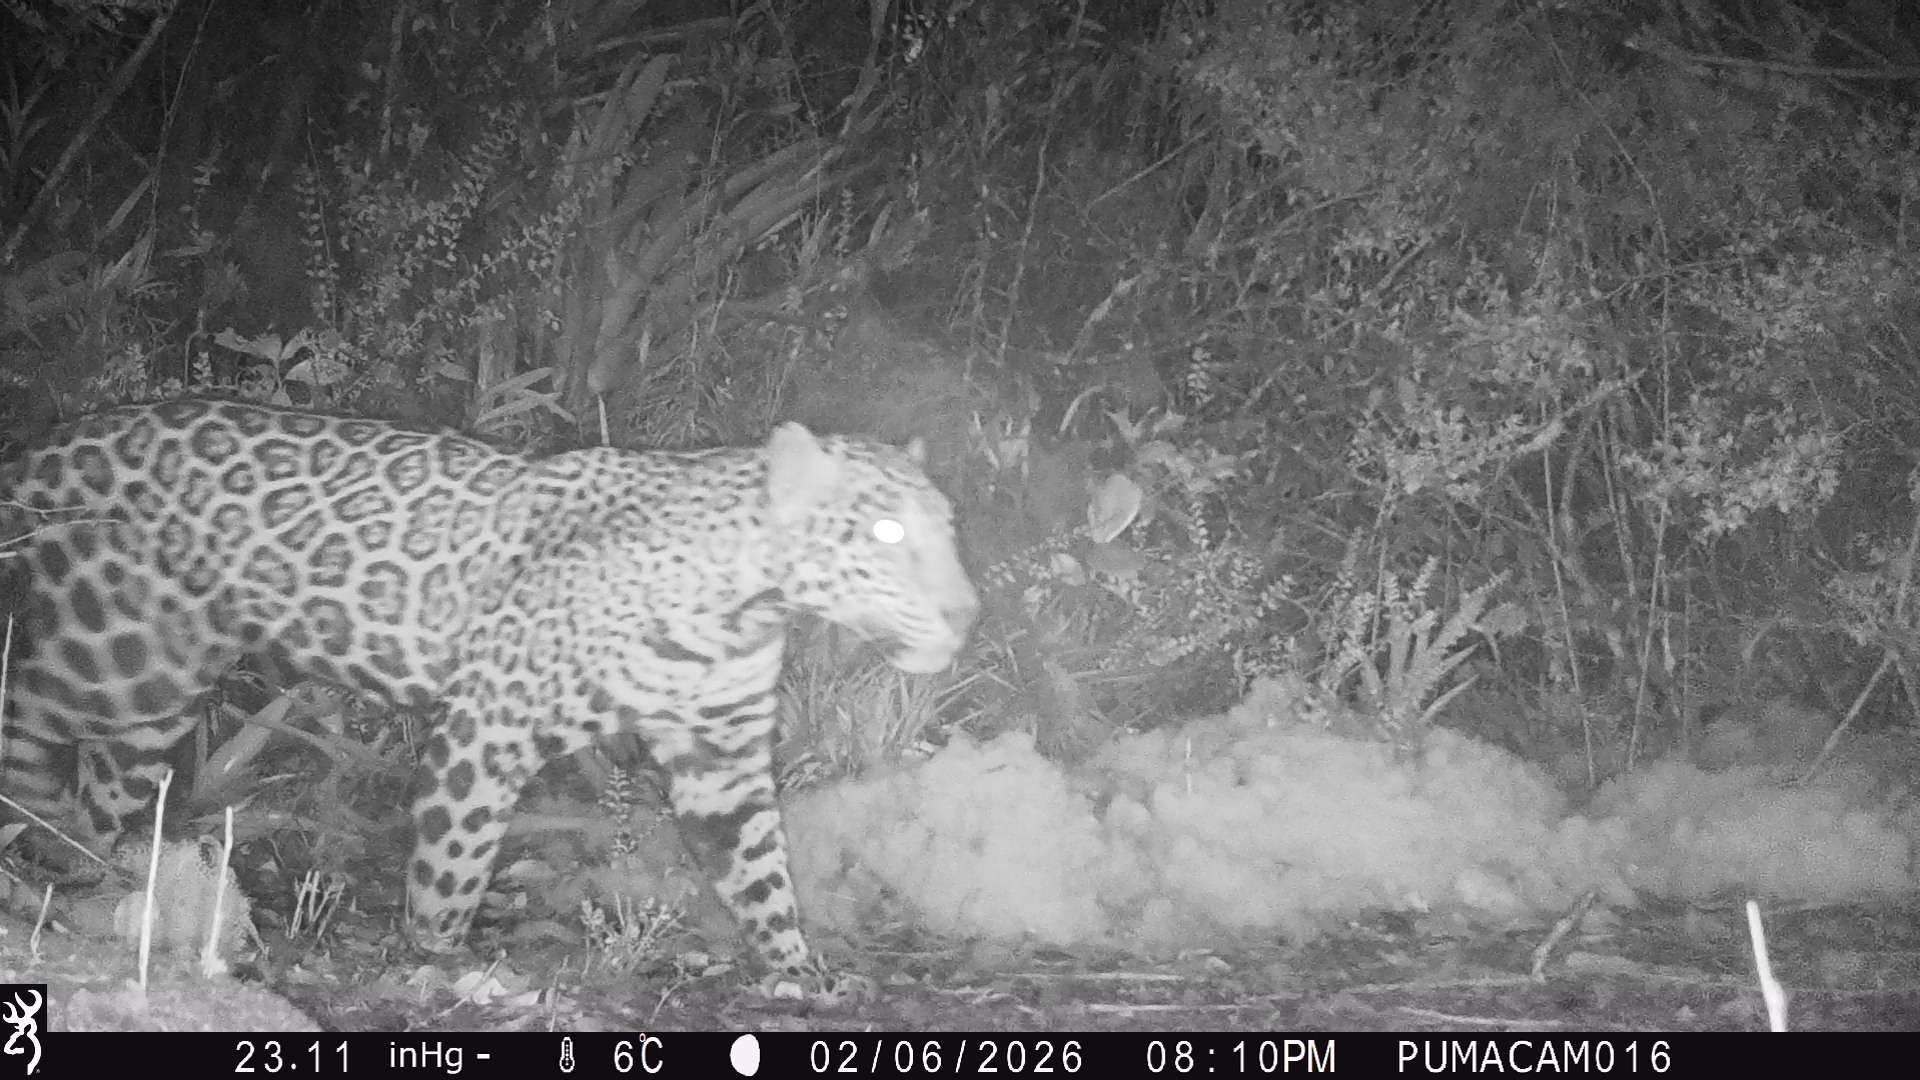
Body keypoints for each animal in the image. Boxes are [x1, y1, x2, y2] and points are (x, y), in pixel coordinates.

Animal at [0, 397, 979, 982]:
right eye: (887, 534)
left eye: (945, 526)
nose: (967, 611)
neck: (740, 604)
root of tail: (52, 437)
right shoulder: (487, 727)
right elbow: (454, 859)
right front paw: (435, 959)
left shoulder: (722, 754)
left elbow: (762, 866)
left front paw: (798, 971)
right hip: (107, 655)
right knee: (26, 715)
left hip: (151, 697)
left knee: (100, 788)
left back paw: (81, 871)